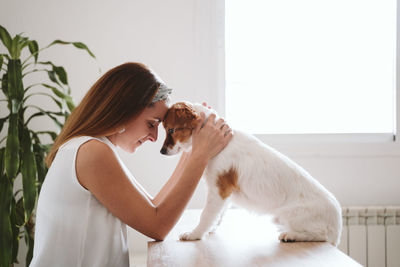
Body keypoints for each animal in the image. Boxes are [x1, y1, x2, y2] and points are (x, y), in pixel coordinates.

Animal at [161, 102, 342, 247]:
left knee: (321, 234)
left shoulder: (218, 189)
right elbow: (218, 214)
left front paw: (195, 234)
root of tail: (338, 223)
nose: (162, 152)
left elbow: (206, 214)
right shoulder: (224, 194)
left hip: (292, 216)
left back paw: (291, 236)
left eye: (171, 130)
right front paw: (210, 229)